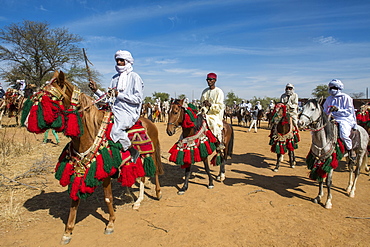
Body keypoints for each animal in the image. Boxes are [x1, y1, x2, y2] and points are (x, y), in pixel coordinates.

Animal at [23, 70, 162, 244]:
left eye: (51, 99)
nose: (26, 123)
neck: (91, 133)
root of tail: (149, 122)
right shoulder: (78, 169)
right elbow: (74, 199)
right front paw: (68, 232)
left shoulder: (105, 171)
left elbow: (108, 198)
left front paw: (110, 224)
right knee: (142, 176)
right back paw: (136, 201)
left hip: (150, 153)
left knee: (154, 172)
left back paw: (157, 193)